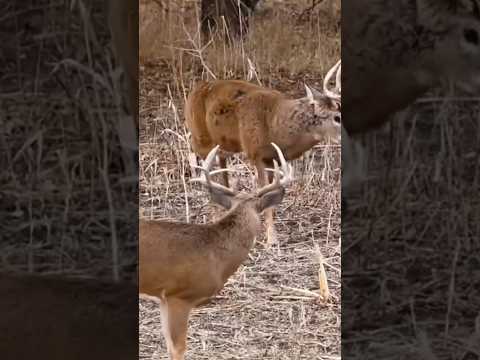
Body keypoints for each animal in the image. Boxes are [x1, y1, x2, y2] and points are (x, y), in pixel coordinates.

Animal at [184, 61, 342, 245]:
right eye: (337, 117)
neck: (275, 125)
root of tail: (195, 90)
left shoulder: (273, 158)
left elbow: (271, 196)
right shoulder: (255, 153)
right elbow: (264, 192)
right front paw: (271, 239)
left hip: (221, 147)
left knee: (222, 176)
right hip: (200, 140)